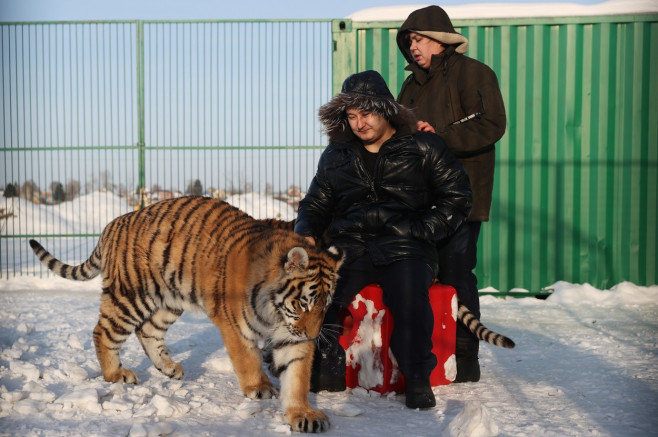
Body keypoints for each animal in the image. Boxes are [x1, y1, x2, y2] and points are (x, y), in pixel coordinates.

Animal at [28, 197, 340, 432]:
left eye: (324, 305)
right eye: (303, 304)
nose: (313, 335)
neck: (276, 312)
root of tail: (112, 224)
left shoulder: (292, 337)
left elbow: (296, 377)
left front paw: (304, 415)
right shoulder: (236, 326)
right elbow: (248, 360)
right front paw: (260, 388)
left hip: (169, 301)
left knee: (147, 331)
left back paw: (169, 368)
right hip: (129, 296)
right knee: (103, 332)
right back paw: (117, 374)